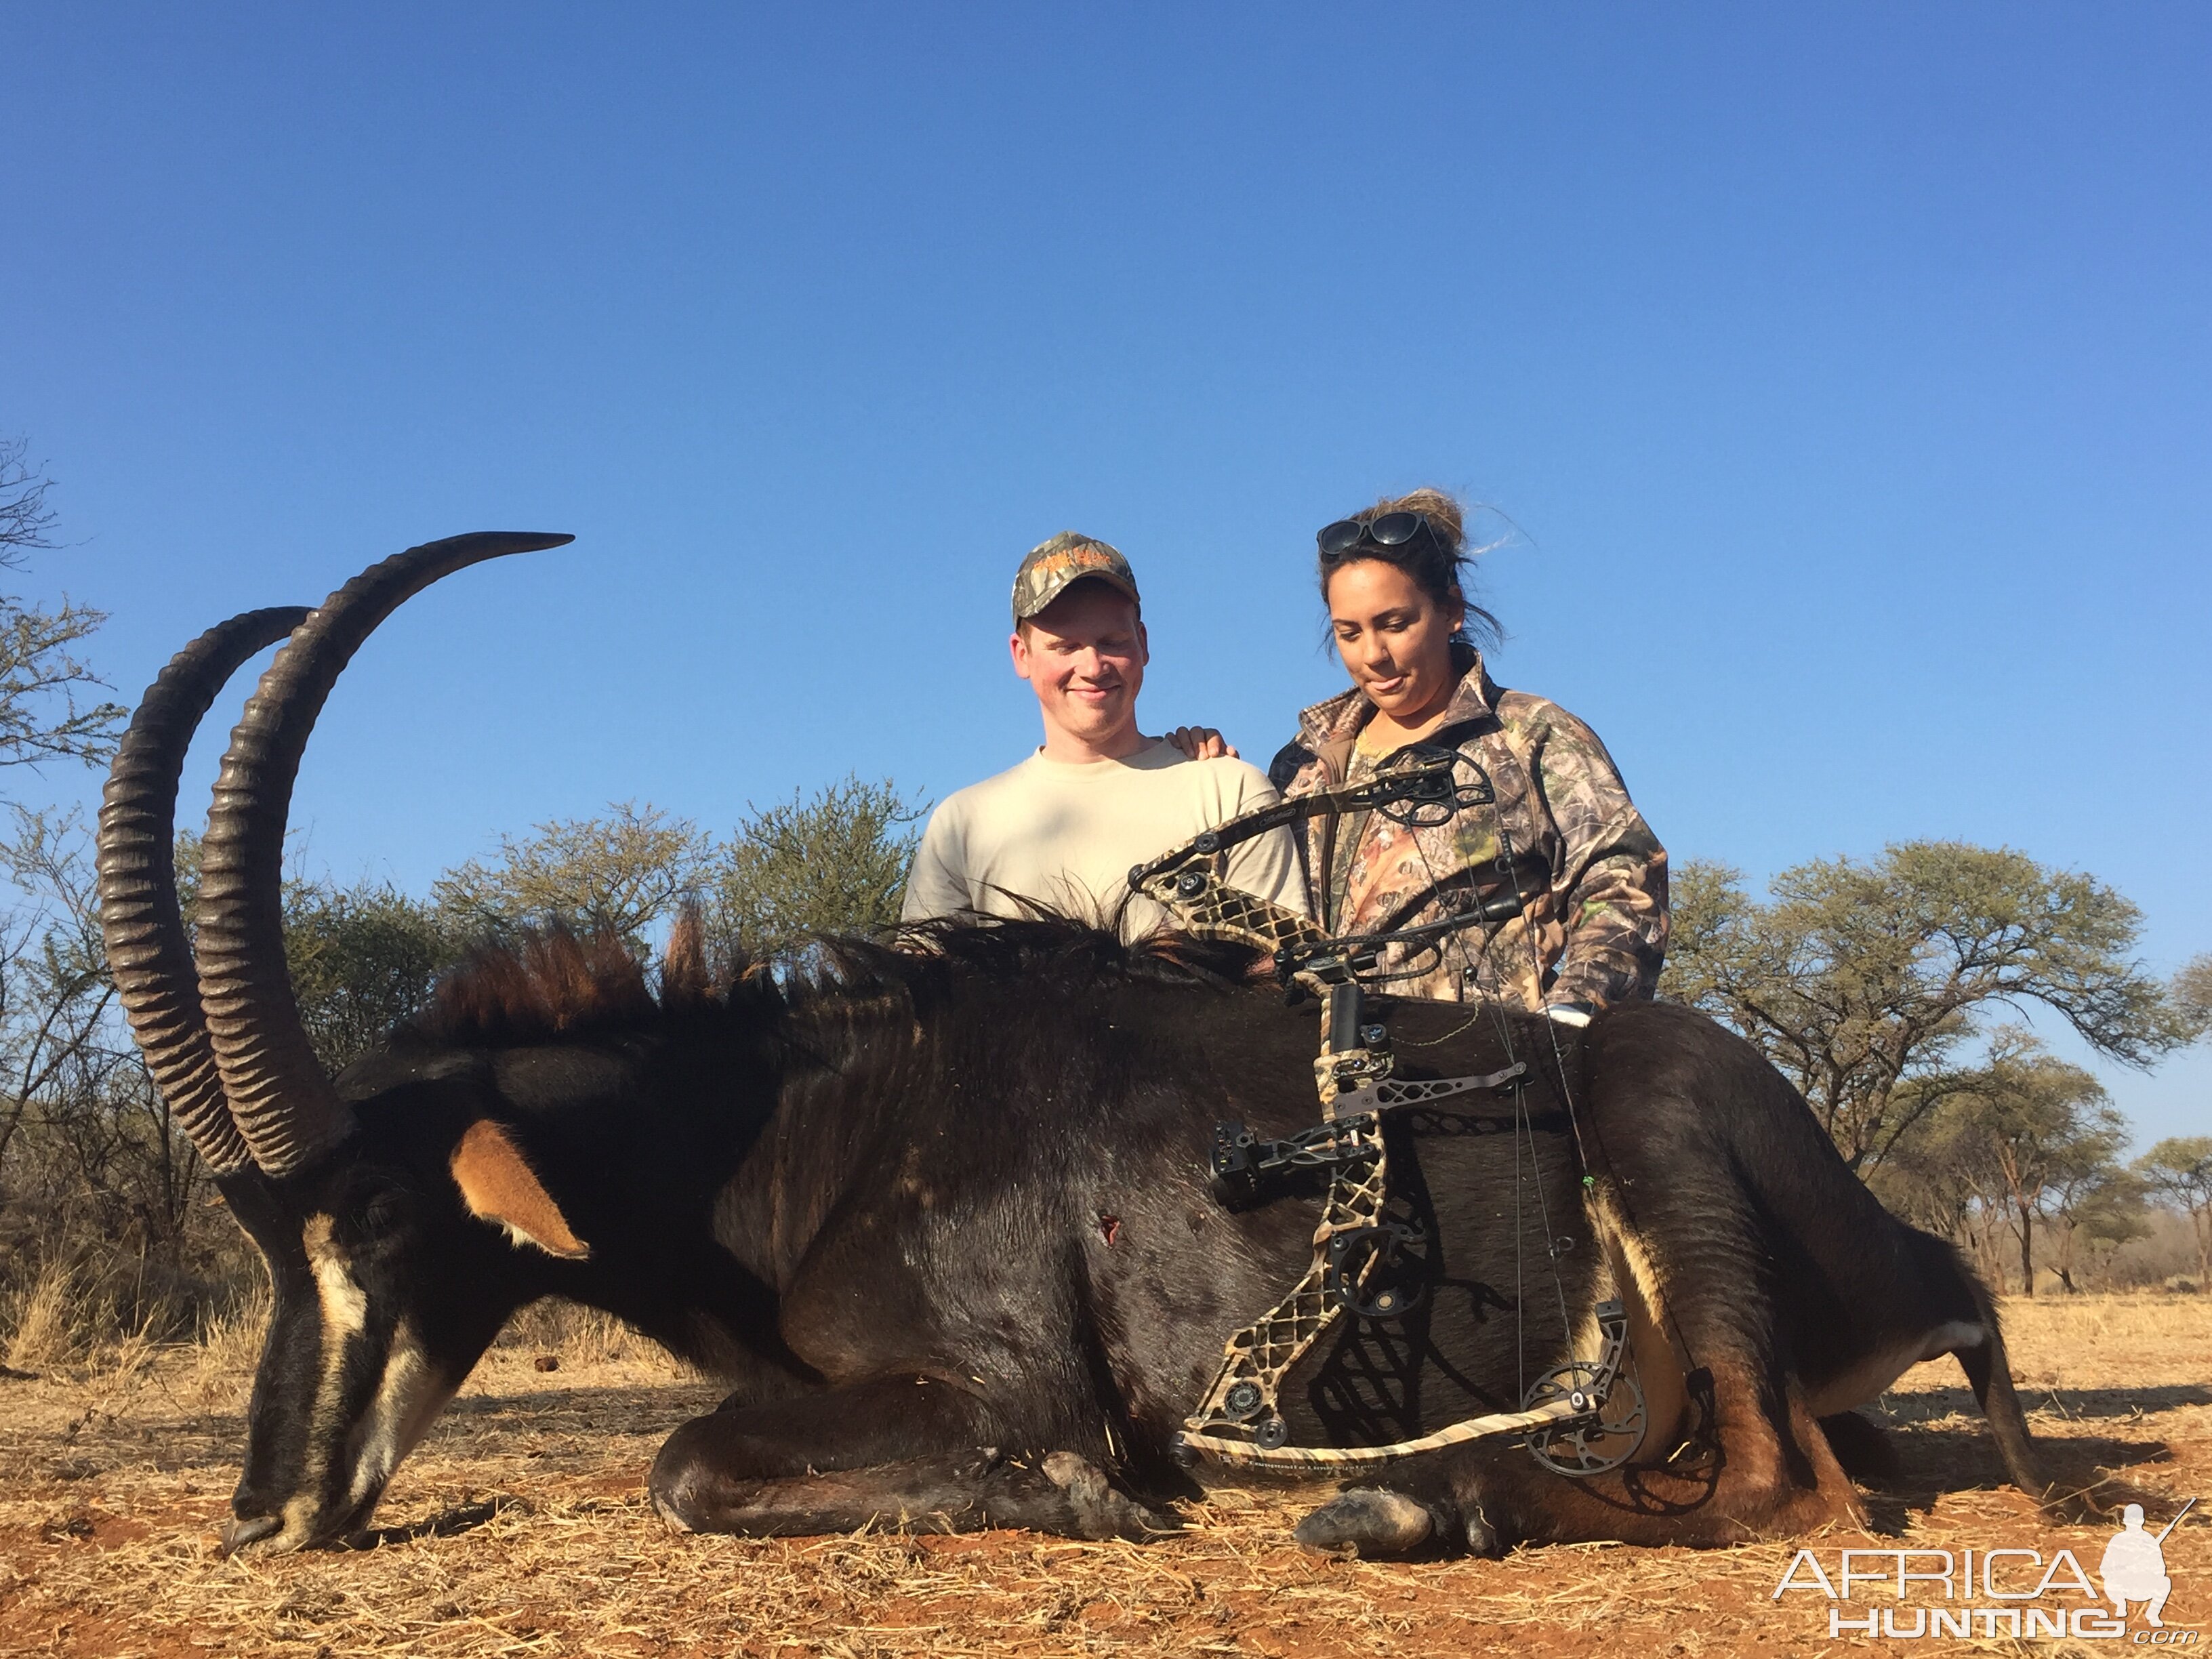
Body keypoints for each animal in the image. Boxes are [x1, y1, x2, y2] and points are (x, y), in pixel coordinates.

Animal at [95, 539, 2043, 1565]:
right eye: (261, 1240)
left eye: (380, 1220)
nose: (264, 1514)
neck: (816, 1125)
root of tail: (1916, 1242)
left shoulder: (1002, 1383)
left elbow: (690, 1463)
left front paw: (1092, 1499)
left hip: (1654, 1128)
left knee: (1772, 1483)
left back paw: (1429, 1497)